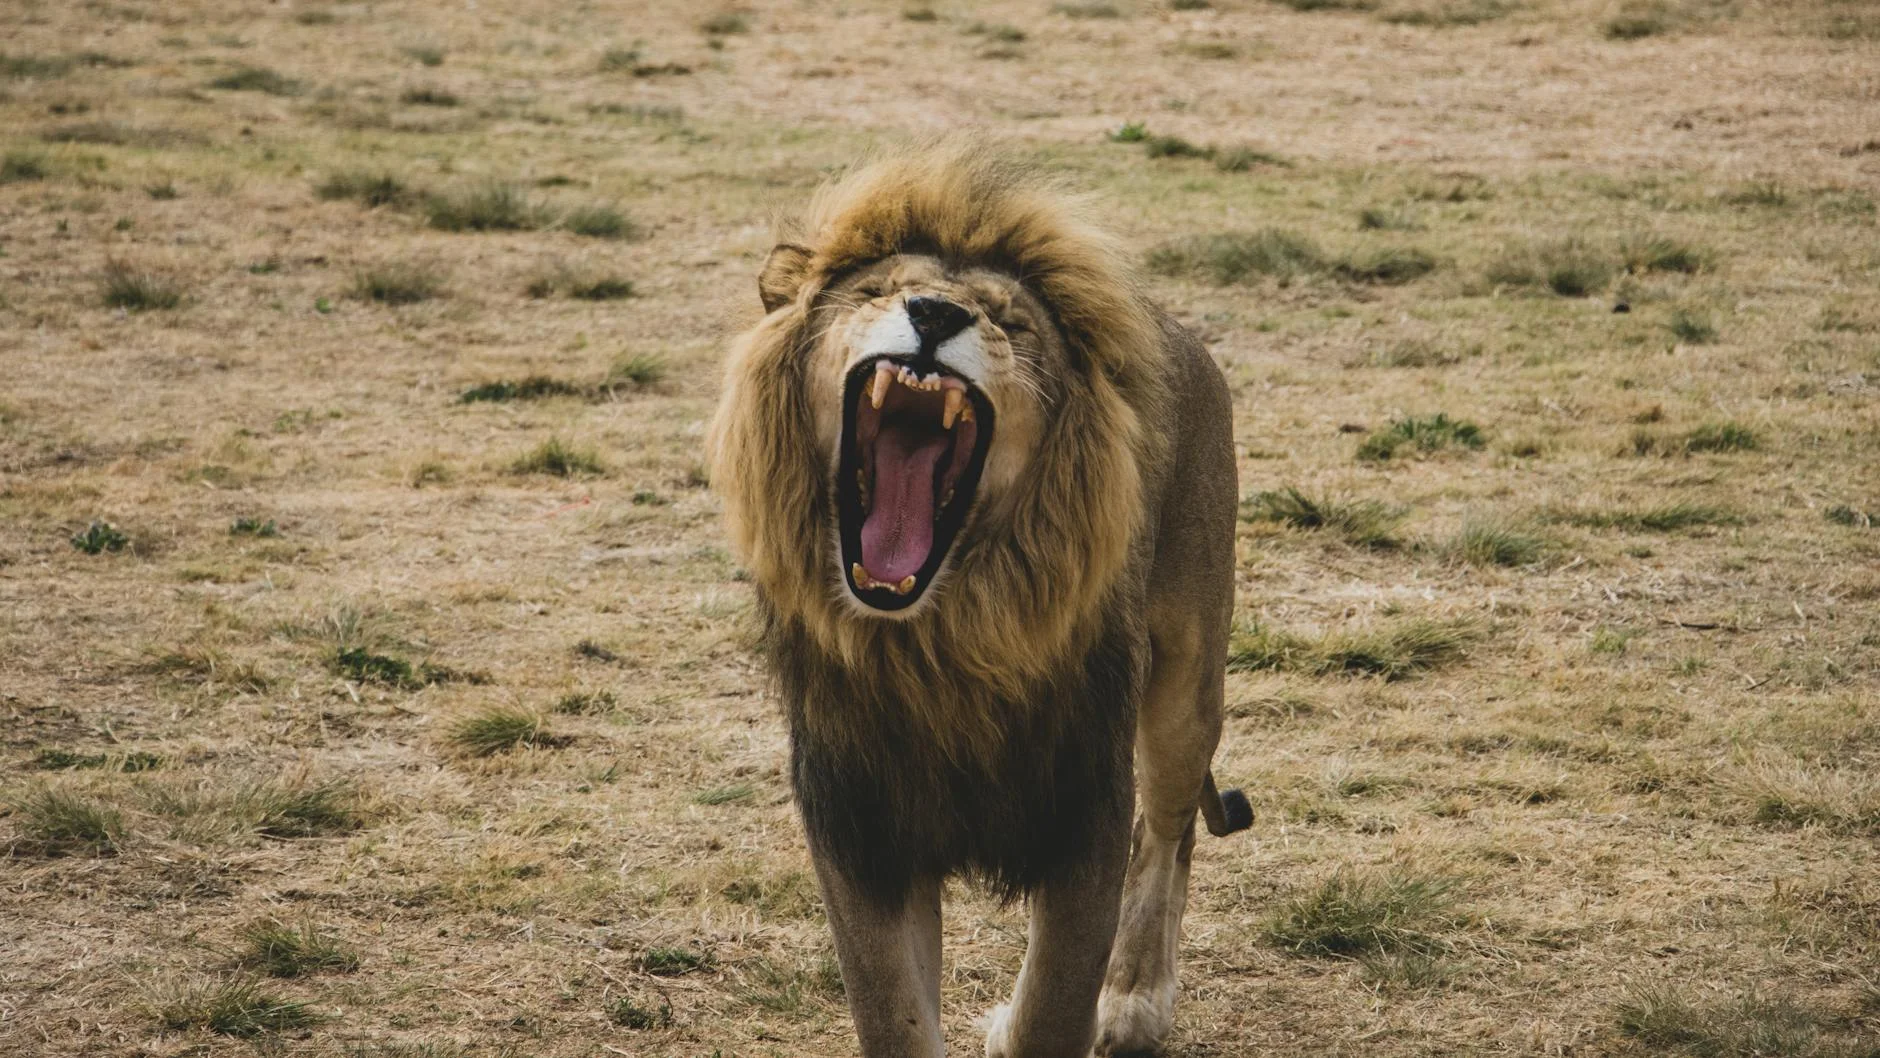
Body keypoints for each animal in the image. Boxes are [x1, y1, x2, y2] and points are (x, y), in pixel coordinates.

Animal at [708, 142, 1250, 1058]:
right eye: (876, 291)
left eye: (1012, 322)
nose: (932, 313)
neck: (942, 643)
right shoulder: (861, 829)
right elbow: (893, 1016)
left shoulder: (1082, 810)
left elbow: (1052, 1008)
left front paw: (1082, 1007)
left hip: (1185, 682)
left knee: (1167, 832)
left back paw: (1134, 999)